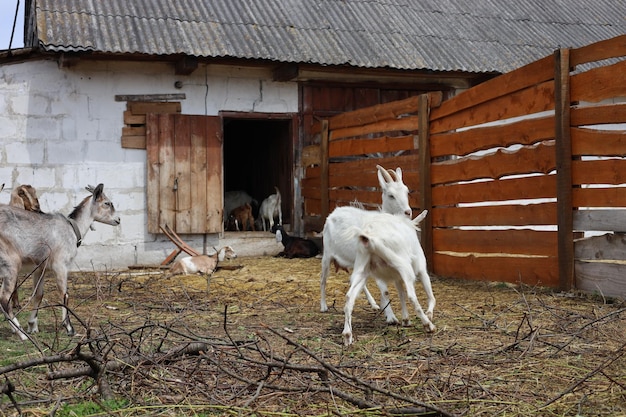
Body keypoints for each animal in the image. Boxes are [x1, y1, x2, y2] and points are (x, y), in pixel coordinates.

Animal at [0, 184, 119, 340]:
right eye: (107, 203)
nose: (118, 219)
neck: (72, 229)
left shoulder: (40, 268)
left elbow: (38, 294)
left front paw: (33, 325)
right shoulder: (60, 265)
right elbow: (64, 294)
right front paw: (69, 328)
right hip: (11, 264)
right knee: (4, 299)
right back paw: (22, 334)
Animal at [322, 163, 414, 322]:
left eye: (406, 191)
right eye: (391, 195)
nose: (408, 212)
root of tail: (333, 213)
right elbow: (385, 290)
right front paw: (391, 318)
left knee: (355, 280)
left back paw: (373, 304)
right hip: (327, 255)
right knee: (323, 279)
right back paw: (323, 306)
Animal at [342, 211, 434, 344]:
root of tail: (370, 238)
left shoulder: (397, 277)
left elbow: (401, 294)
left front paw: (406, 320)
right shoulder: (421, 269)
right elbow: (430, 296)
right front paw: (429, 314)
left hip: (361, 269)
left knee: (349, 297)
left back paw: (347, 335)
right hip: (403, 266)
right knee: (412, 296)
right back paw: (428, 325)